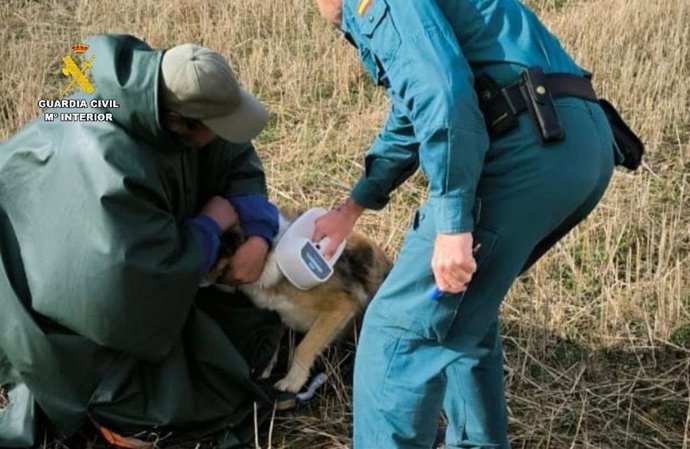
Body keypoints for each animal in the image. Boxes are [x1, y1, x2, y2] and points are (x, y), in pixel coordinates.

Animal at [202, 210, 390, 392]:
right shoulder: (277, 314)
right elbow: (273, 341)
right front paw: (266, 370)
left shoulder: (341, 305)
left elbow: (305, 347)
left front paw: (292, 382)